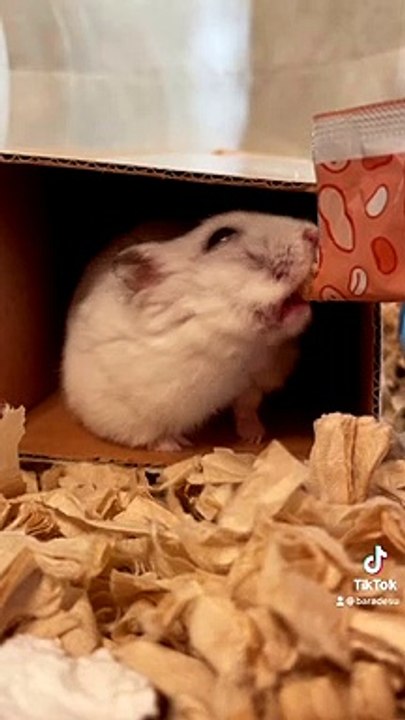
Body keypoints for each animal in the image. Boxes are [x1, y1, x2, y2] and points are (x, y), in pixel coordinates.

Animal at [62, 211, 318, 451]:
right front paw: (176, 446)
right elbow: (150, 434)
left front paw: (255, 437)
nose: (313, 232)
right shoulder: (128, 410)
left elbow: (246, 407)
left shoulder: (253, 382)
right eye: (221, 236)